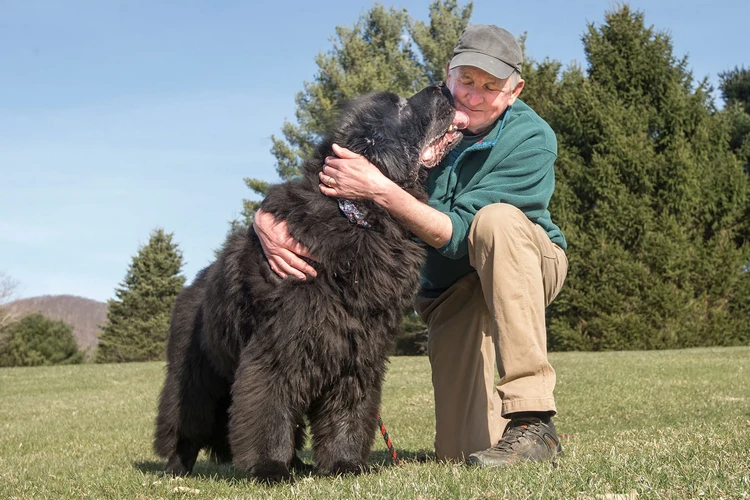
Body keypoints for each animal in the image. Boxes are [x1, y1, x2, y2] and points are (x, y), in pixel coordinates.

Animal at [154, 84, 470, 482]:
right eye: (399, 106)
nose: (442, 87)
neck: (355, 218)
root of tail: (193, 285)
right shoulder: (279, 347)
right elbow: (268, 407)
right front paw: (269, 468)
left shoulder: (359, 349)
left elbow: (349, 409)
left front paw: (344, 464)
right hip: (196, 376)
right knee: (185, 424)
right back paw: (177, 467)